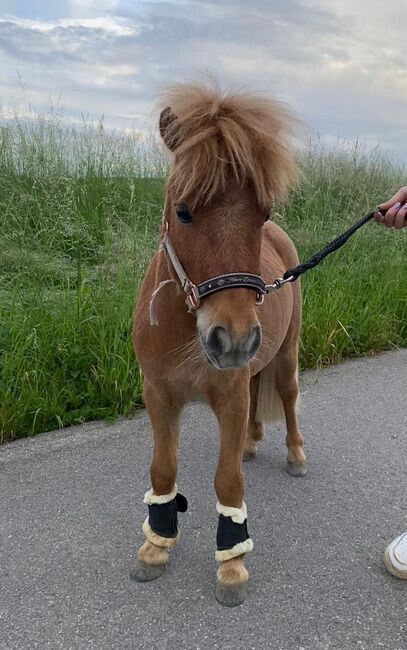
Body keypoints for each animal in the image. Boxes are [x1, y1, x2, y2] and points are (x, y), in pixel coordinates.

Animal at [132, 79, 308, 604]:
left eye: (262, 212)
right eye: (183, 211)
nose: (232, 338)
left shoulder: (227, 398)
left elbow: (227, 481)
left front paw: (232, 564)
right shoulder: (159, 397)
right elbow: (163, 470)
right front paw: (155, 548)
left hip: (284, 354)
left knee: (286, 395)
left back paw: (295, 455)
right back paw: (251, 442)